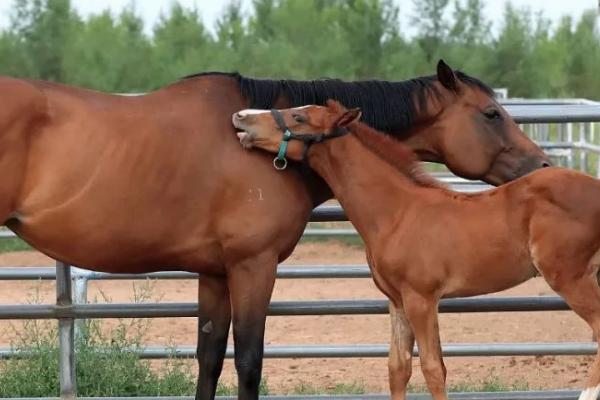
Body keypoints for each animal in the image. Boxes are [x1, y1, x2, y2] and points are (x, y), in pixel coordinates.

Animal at [0, 60, 548, 400]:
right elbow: (249, 361)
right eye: (491, 113)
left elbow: (209, 359)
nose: (542, 166)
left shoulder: (215, 273)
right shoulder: (253, 266)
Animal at [232, 101, 600, 400]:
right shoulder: (397, 300)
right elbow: (398, 368)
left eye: (300, 117)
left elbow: (434, 368)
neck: (397, 211)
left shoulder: (421, 299)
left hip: (570, 276)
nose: (241, 117)